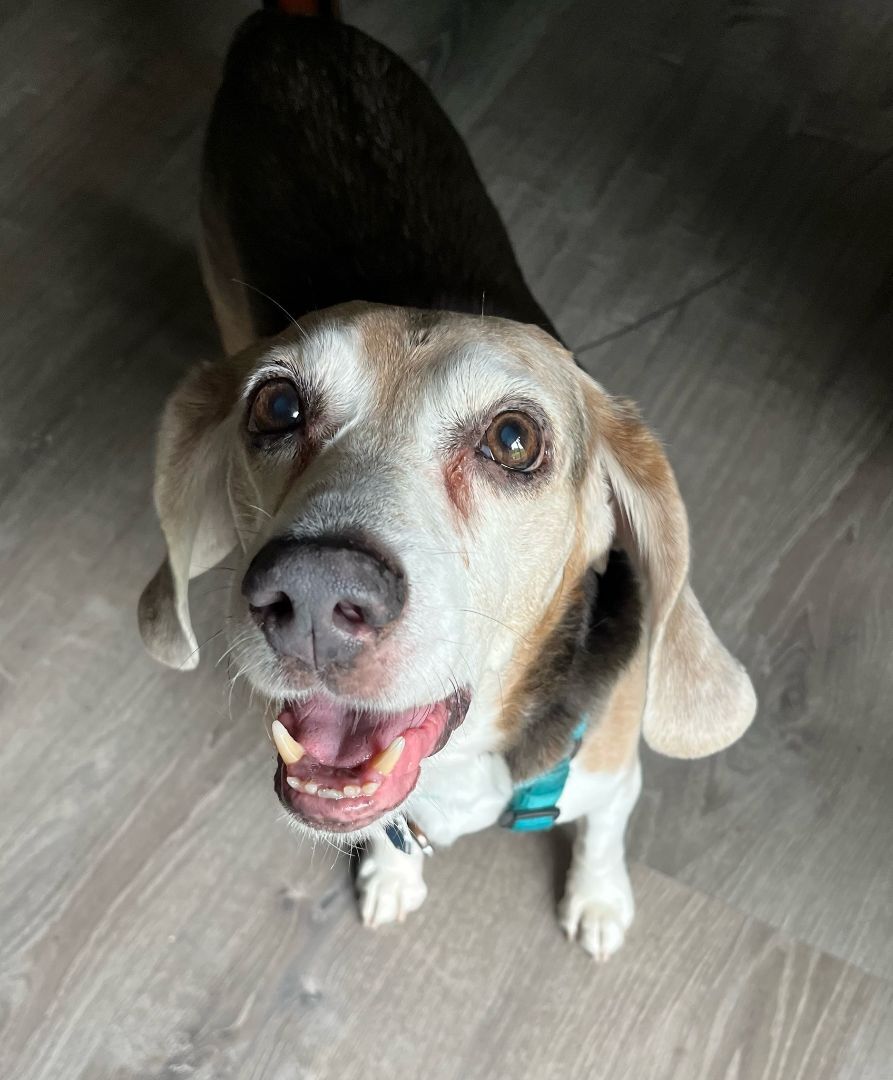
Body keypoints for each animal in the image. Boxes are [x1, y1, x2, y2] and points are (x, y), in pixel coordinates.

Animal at [138, 10, 755, 963]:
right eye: (275, 406)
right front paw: (392, 873)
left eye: (514, 439)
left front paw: (599, 899)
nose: (311, 593)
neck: (464, 765)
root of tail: (295, 21)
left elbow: (603, 834)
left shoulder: (612, 772)